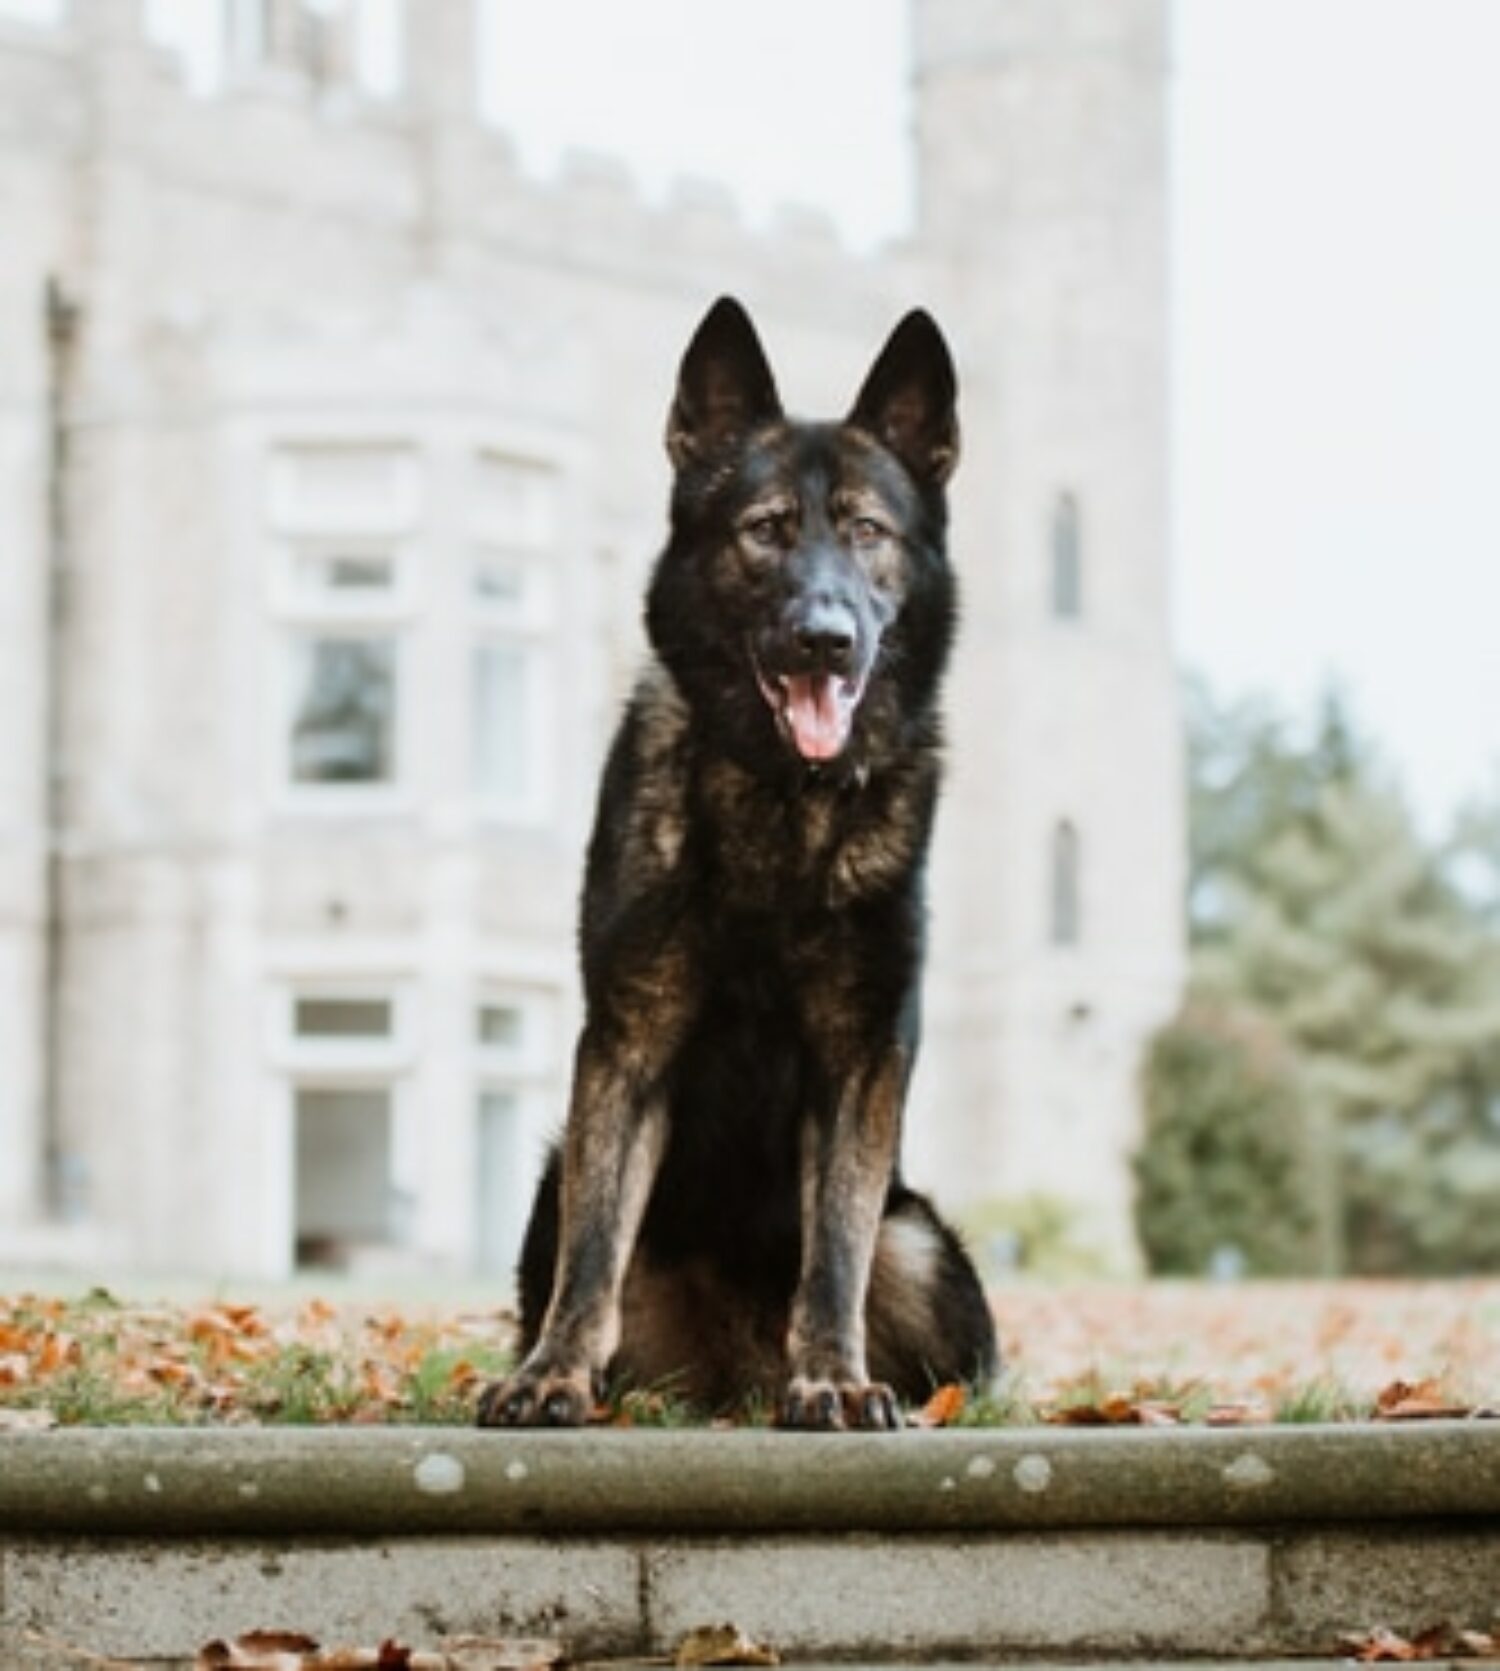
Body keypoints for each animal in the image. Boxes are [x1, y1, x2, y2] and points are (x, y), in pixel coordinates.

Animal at [476, 297, 998, 1431]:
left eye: (866, 531)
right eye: (765, 530)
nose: (825, 639)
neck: (779, 804)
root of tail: (729, 1378)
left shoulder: (860, 1057)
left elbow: (835, 1247)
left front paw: (834, 1379)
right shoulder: (630, 1041)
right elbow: (594, 1246)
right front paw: (552, 1373)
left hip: (923, 1244)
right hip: (548, 1177)